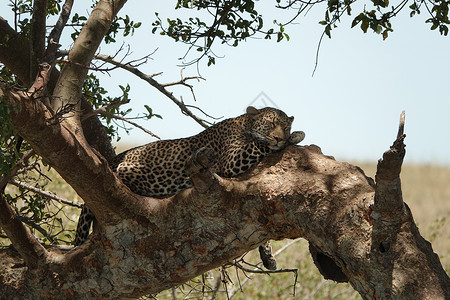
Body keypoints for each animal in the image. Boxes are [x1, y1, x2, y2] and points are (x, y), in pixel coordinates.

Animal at [74, 106, 306, 268]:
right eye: (270, 124)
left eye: (285, 126)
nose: (280, 137)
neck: (244, 124)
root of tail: (114, 159)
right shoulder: (232, 160)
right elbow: (261, 144)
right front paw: (295, 137)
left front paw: (267, 255)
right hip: (134, 171)